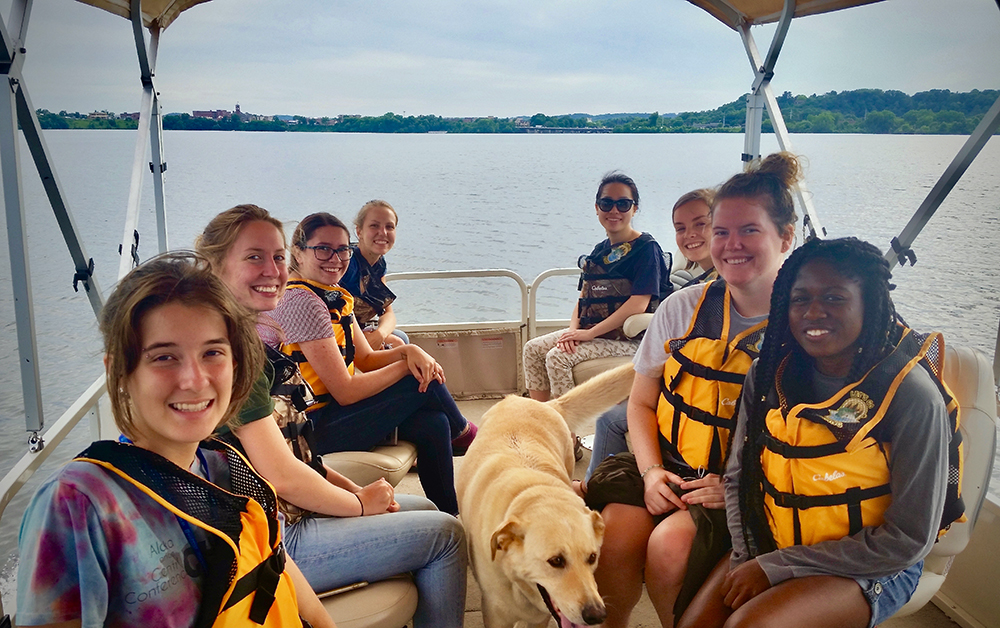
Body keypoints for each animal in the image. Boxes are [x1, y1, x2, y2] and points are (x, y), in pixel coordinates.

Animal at [456, 364, 632, 628]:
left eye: (592, 557)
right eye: (556, 561)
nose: (597, 615)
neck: (535, 494)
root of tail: (545, 403)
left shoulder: (540, 618)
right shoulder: (496, 615)